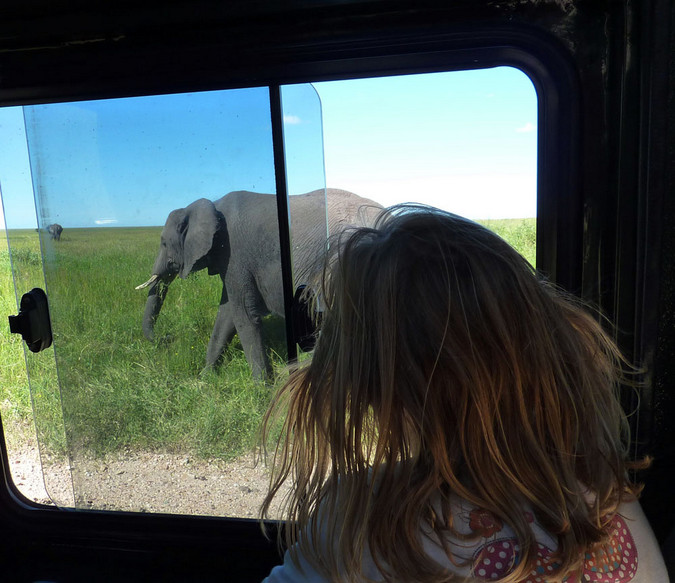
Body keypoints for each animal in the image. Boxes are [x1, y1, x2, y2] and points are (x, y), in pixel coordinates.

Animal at [136, 188, 386, 378]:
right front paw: (205, 378)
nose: (167, 338)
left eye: (164, 243)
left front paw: (262, 387)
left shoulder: (235, 254)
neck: (210, 205)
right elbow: (227, 314)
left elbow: (243, 315)